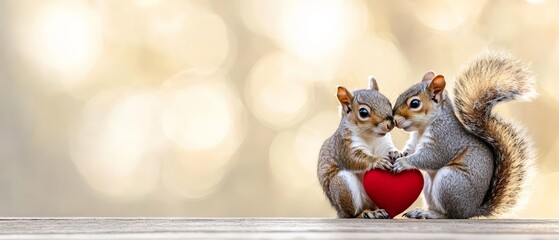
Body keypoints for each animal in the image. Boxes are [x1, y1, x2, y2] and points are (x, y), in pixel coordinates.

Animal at [318, 77, 400, 219]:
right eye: (363, 112)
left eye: (388, 103)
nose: (391, 123)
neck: (371, 136)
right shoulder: (344, 145)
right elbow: (354, 159)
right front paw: (378, 161)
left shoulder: (385, 143)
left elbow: (390, 150)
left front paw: (397, 153)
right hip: (342, 184)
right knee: (353, 213)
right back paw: (367, 213)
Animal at [390, 51, 540, 219]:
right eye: (401, 94)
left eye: (415, 103)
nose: (394, 120)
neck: (423, 128)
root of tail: (473, 210)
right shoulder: (415, 139)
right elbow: (410, 149)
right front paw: (398, 154)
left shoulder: (445, 139)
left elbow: (432, 157)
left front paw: (403, 162)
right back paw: (421, 212)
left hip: (450, 182)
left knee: (452, 215)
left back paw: (434, 215)